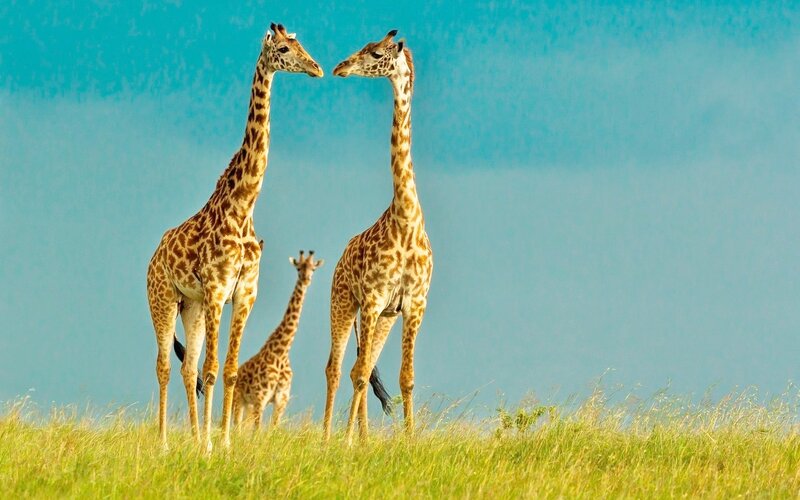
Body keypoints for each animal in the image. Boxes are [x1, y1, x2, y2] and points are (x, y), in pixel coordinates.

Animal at [232, 250, 323, 430]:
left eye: (313, 269)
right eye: (298, 268)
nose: (306, 279)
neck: (281, 353)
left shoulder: (281, 400)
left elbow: (273, 429)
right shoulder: (261, 397)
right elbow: (258, 430)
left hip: (248, 404)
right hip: (239, 399)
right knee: (237, 427)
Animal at [325, 31, 433, 445]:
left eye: (374, 53)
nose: (340, 67)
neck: (406, 220)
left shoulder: (413, 304)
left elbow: (407, 378)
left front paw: (410, 440)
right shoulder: (370, 299)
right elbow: (357, 376)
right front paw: (348, 442)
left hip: (384, 316)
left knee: (363, 365)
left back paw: (362, 437)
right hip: (343, 303)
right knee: (339, 369)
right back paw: (333, 436)